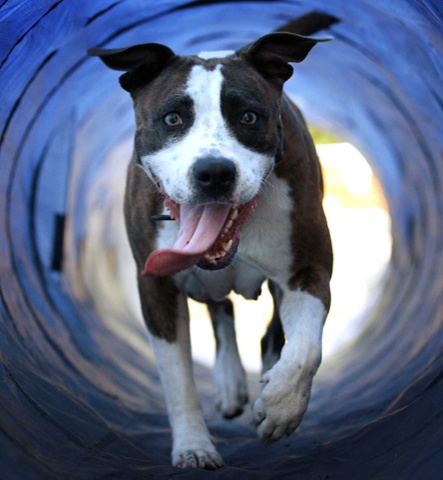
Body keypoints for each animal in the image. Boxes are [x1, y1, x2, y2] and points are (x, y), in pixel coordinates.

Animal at [88, 13, 334, 470]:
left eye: (250, 117)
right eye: (172, 119)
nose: (215, 172)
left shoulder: (308, 268)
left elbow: (305, 348)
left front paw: (281, 406)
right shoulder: (157, 287)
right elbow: (177, 377)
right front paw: (193, 446)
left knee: (269, 331)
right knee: (222, 312)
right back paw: (229, 383)